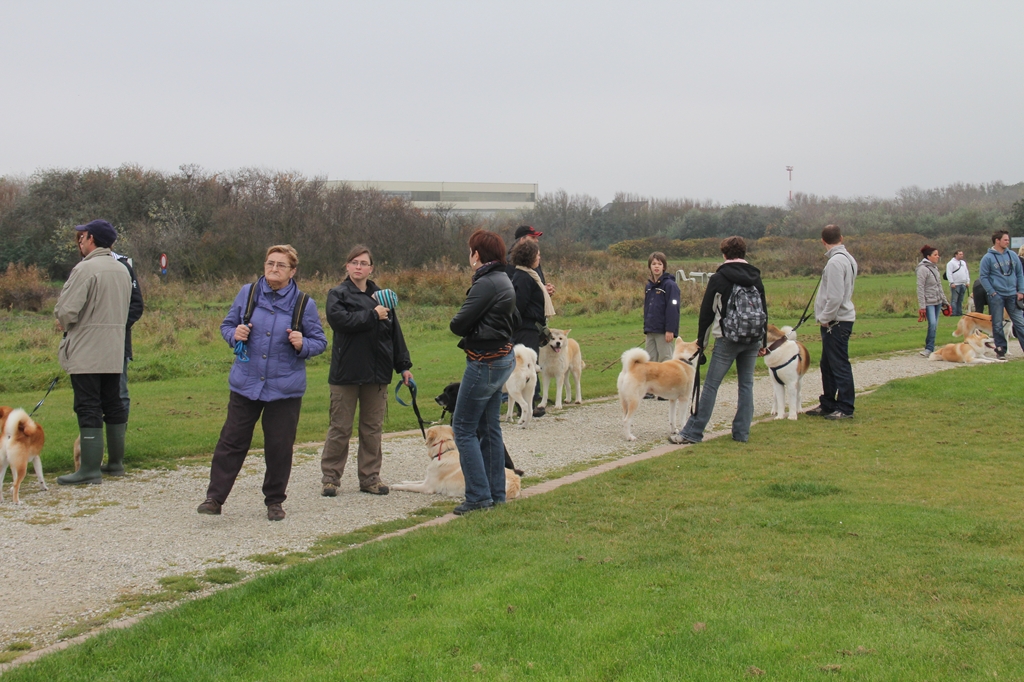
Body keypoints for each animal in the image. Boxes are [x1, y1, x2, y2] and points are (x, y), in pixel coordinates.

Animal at [389, 421, 524, 497]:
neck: (445, 451)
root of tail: (516, 482)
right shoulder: (427, 480)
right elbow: (413, 482)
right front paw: (403, 481)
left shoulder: (427, 487)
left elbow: (410, 486)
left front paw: (395, 486)